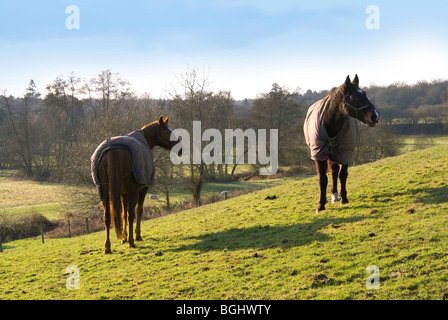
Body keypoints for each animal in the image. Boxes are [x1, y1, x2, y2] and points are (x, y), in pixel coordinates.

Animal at [93, 116, 180, 254]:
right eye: (165, 131)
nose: (180, 147)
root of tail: (113, 150)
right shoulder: (142, 189)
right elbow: (138, 211)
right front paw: (136, 235)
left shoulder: (123, 193)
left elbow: (122, 214)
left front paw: (123, 237)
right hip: (132, 191)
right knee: (131, 214)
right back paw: (131, 242)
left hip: (104, 192)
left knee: (107, 217)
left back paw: (107, 246)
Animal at [302, 75, 380, 214]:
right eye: (354, 97)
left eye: (365, 94)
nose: (375, 116)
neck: (330, 123)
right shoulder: (319, 154)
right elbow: (322, 179)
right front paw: (321, 205)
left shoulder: (344, 152)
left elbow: (342, 175)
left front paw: (344, 198)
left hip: (334, 153)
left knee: (334, 172)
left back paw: (335, 195)